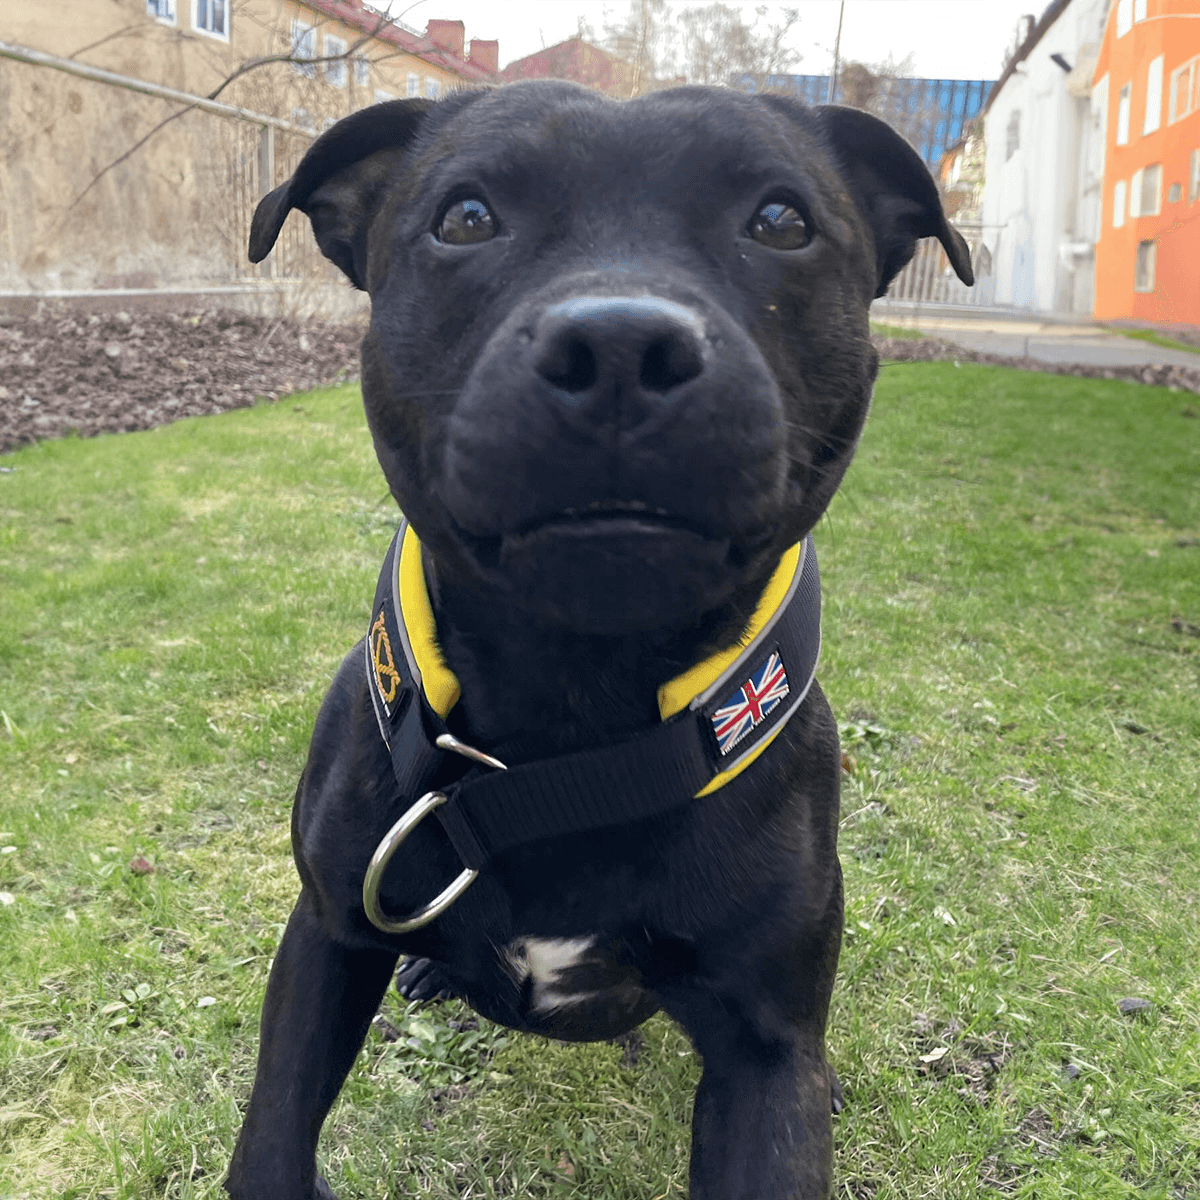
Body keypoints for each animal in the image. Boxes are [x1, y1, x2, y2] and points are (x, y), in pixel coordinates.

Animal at [225, 79, 969, 1195]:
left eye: (782, 221)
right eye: (466, 216)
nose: (621, 346)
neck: (569, 730)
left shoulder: (765, 1055)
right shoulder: (326, 939)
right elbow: (271, 1141)